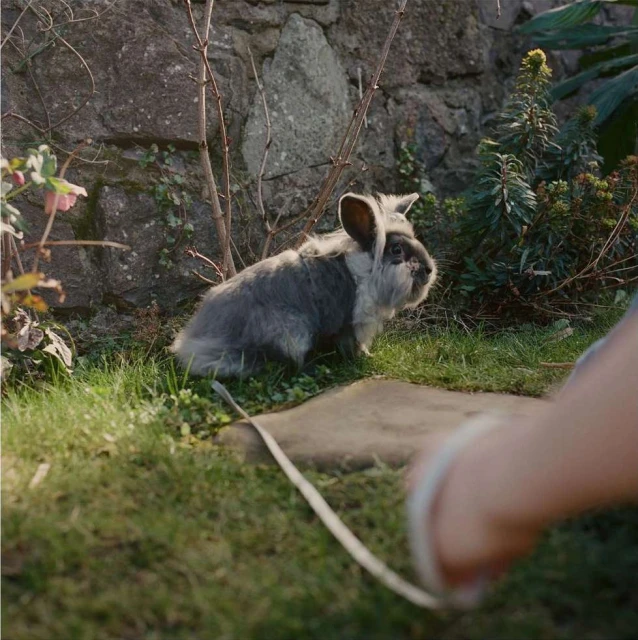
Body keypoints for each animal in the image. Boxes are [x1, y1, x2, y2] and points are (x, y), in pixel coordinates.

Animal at [170, 192, 437, 378]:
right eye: (396, 250)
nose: (429, 270)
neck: (366, 271)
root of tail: (194, 343)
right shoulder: (352, 323)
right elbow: (352, 344)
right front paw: (364, 357)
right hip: (290, 330)